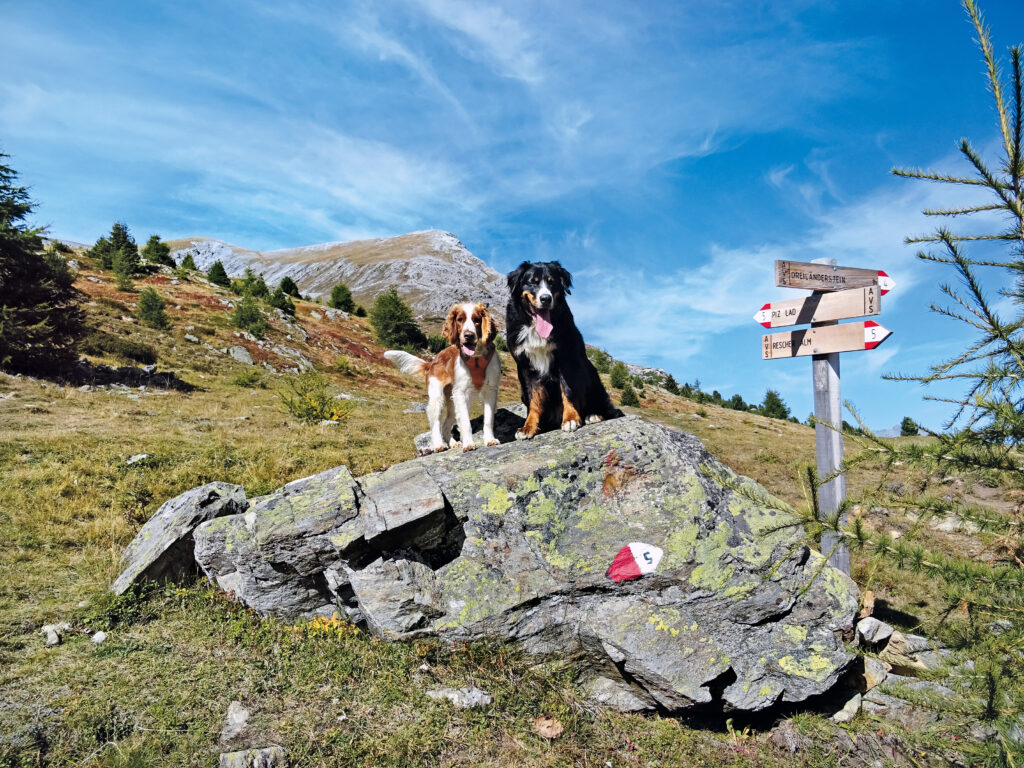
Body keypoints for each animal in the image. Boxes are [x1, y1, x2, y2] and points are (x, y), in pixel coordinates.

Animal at [385, 303, 499, 456]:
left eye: (477, 320)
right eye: (460, 319)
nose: (468, 336)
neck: (476, 358)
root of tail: (432, 362)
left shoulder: (490, 390)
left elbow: (488, 419)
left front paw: (490, 440)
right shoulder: (461, 393)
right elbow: (465, 422)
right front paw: (469, 444)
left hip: (452, 401)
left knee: (446, 425)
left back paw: (453, 443)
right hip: (437, 398)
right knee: (435, 423)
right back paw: (439, 445)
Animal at [501, 262, 614, 438]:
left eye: (551, 282)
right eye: (532, 282)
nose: (546, 298)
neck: (535, 327)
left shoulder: (566, 359)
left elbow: (568, 391)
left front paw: (570, 419)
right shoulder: (525, 367)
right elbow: (533, 399)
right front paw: (528, 427)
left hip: (592, 376)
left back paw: (593, 415)